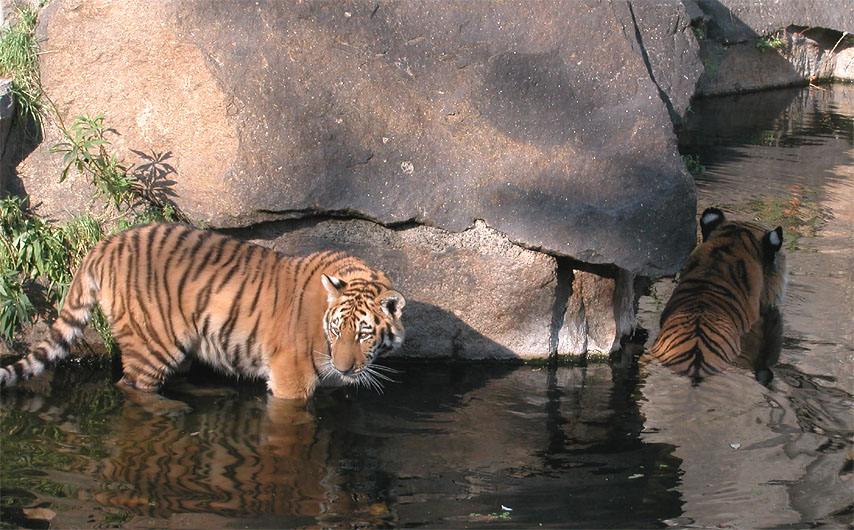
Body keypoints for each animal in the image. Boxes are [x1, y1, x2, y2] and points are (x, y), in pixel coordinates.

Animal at [0, 223, 406, 401]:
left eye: (363, 334)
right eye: (337, 330)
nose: (344, 368)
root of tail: (107, 242)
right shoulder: (291, 377)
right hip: (152, 343)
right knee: (132, 386)